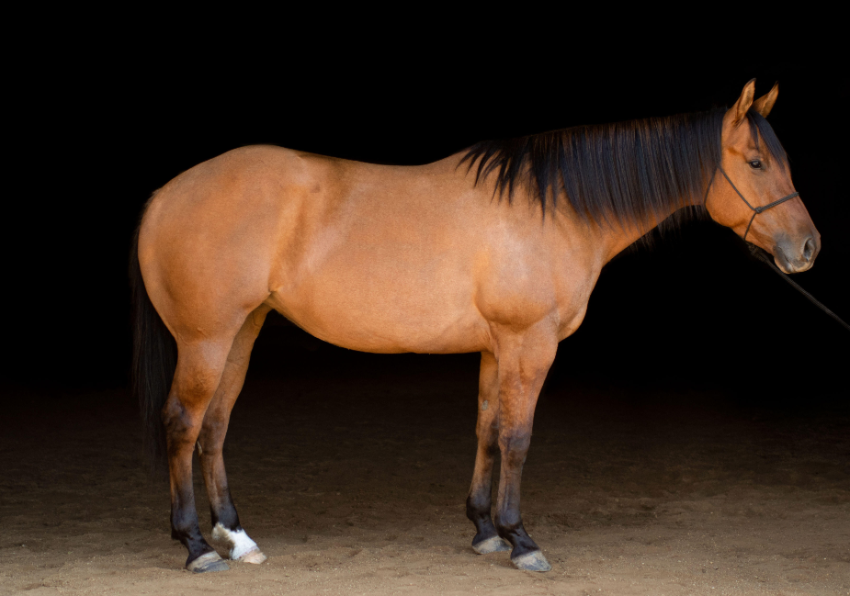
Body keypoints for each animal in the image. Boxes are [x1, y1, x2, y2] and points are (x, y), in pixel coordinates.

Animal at [130, 80, 819, 574]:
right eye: (756, 162)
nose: (809, 248)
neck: (555, 208)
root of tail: (166, 195)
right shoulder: (530, 343)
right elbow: (518, 436)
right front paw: (521, 539)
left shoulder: (497, 348)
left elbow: (488, 430)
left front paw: (485, 530)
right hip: (206, 339)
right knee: (184, 424)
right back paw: (196, 547)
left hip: (241, 333)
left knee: (214, 428)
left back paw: (237, 539)